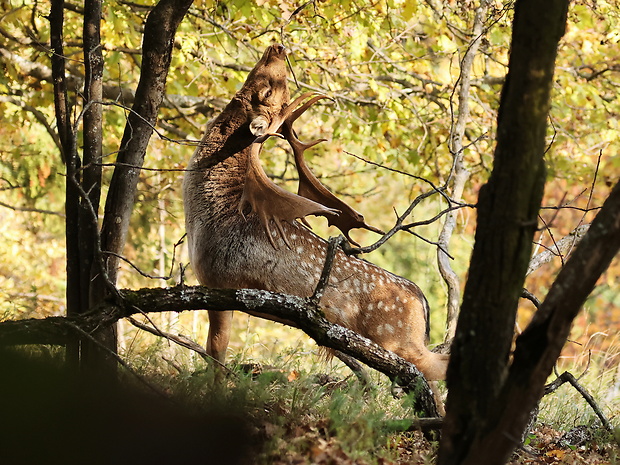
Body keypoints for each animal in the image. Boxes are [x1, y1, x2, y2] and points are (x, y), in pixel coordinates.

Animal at [182, 44, 448, 380]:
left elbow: (215, 354)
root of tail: (421, 300)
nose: (277, 47)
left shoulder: (218, 282)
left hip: (397, 336)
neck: (208, 213)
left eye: (266, 89)